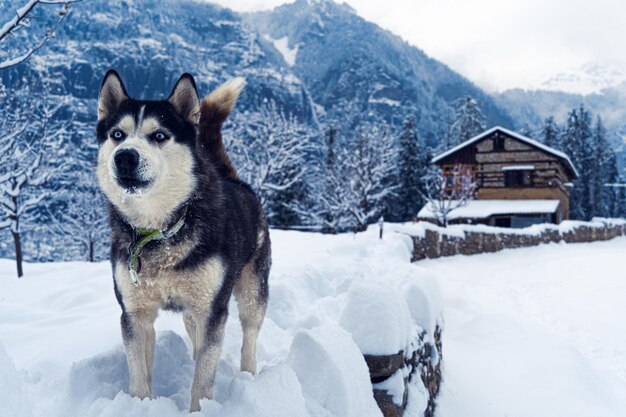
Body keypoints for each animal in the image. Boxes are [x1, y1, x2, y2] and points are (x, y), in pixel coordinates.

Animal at [94, 70, 268, 412]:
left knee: (249, 334)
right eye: (118, 134)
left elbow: (203, 380)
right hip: (192, 310)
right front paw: (140, 406)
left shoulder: (212, 312)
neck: (160, 231)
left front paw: (200, 411)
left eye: (159, 136)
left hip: (251, 292)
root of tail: (235, 180)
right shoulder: (135, 313)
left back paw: (248, 374)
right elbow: (139, 376)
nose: (125, 157)